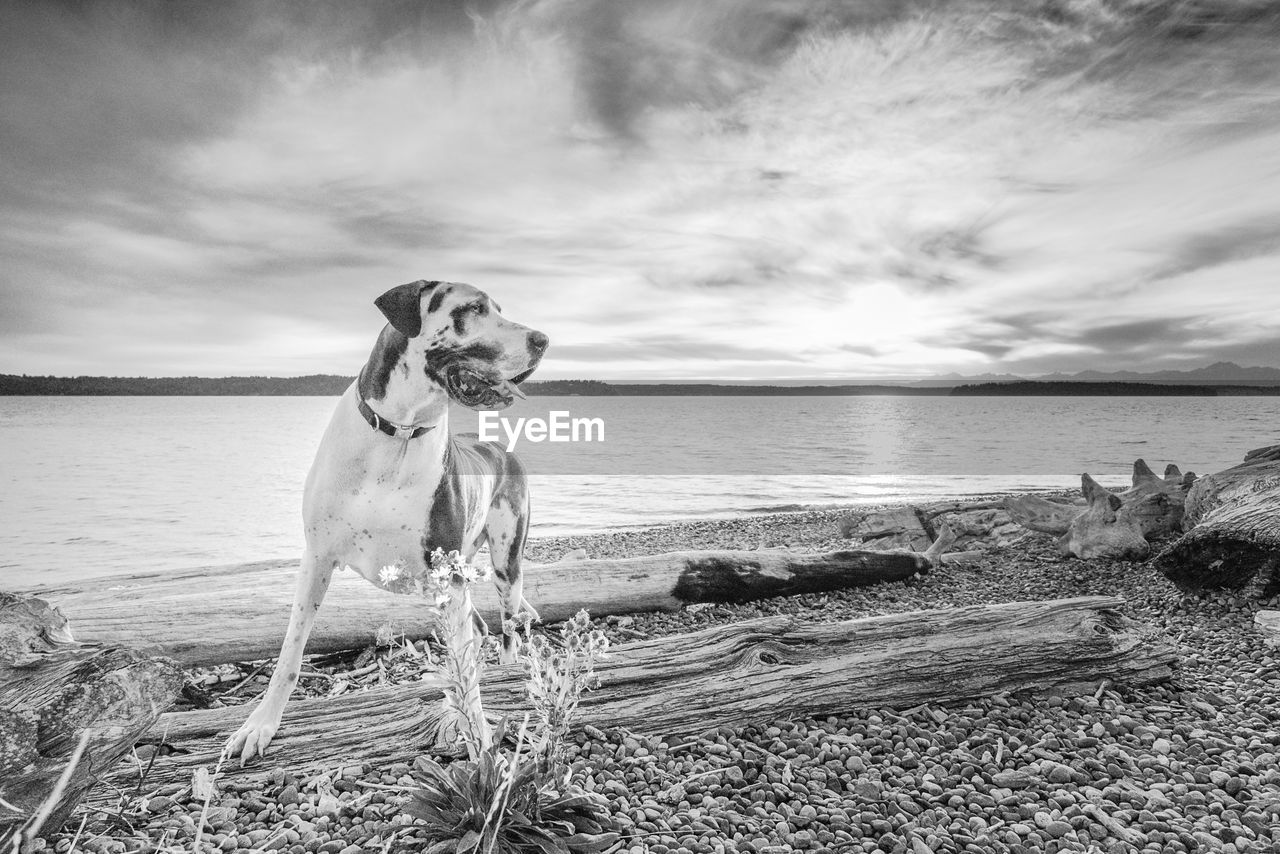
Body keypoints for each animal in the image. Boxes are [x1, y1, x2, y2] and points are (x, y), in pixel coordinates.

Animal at [225, 281, 545, 768]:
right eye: (473, 308)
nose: (543, 340)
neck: (398, 433)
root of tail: (500, 448)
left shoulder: (448, 576)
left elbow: (467, 671)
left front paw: (478, 734)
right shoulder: (317, 558)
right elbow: (290, 654)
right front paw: (260, 725)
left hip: (507, 562)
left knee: (505, 626)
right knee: (479, 627)